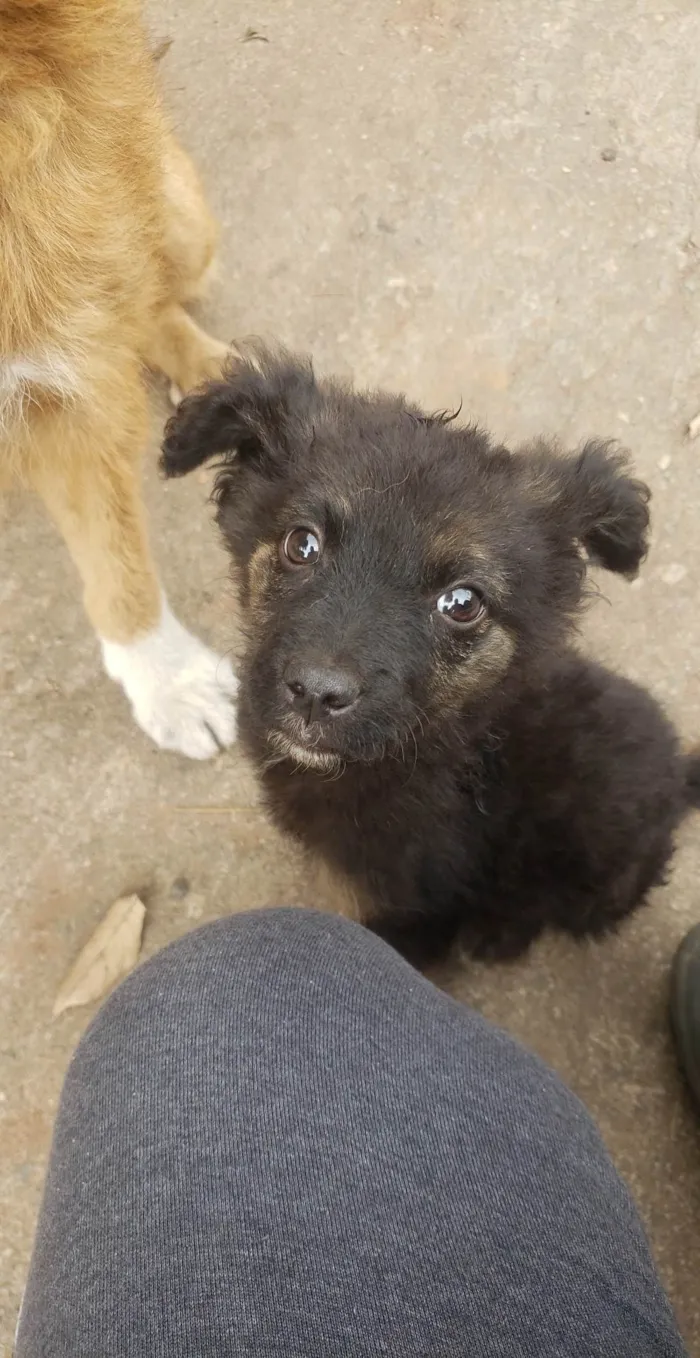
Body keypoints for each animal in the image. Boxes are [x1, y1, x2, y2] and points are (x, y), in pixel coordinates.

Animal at [163, 350, 695, 966]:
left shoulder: (415, 906)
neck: (462, 745)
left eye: (462, 603)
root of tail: (680, 777)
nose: (316, 693)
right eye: (302, 544)